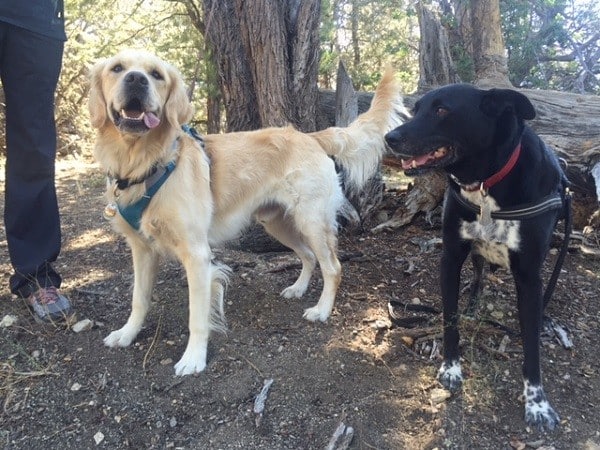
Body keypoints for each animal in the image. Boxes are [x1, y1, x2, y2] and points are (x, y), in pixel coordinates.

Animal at [89, 48, 408, 376]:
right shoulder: (141, 249)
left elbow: (197, 315)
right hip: (277, 223)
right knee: (308, 256)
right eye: (117, 68)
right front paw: (127, 334)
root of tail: (310, 136)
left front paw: (194, 358)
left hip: (311, 222)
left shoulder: (197, 255)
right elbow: (139, 299)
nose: (136, 80)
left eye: (156, 75)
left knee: (333, 267)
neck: (144, 163)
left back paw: (321, 309)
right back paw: (297, 289)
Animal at [386, 82, 568, 430]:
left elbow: (532, 346)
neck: (486, 182)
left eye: (442, 110)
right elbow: (450, 319)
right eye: (416, 109)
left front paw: (537, 403)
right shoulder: (451, 258)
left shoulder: (528, 276)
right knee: (479, 275)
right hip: (475, 253)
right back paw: (472, 305)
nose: (390, 137)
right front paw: (451, 368)